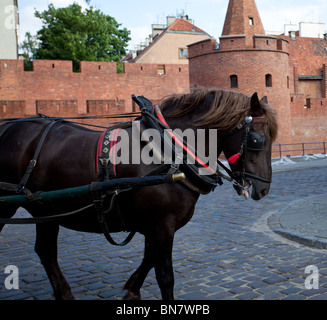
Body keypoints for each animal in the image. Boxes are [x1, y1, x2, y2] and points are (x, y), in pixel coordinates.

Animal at [0, 88, 280, 300]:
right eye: (257, 139)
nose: (264, 188)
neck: (170, 152)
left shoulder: (155, 225)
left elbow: (149, 258)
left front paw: (132, 288)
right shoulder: (161, 224)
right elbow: (165, 275)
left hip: (45, 210)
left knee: (45, 251)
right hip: (14, 206)